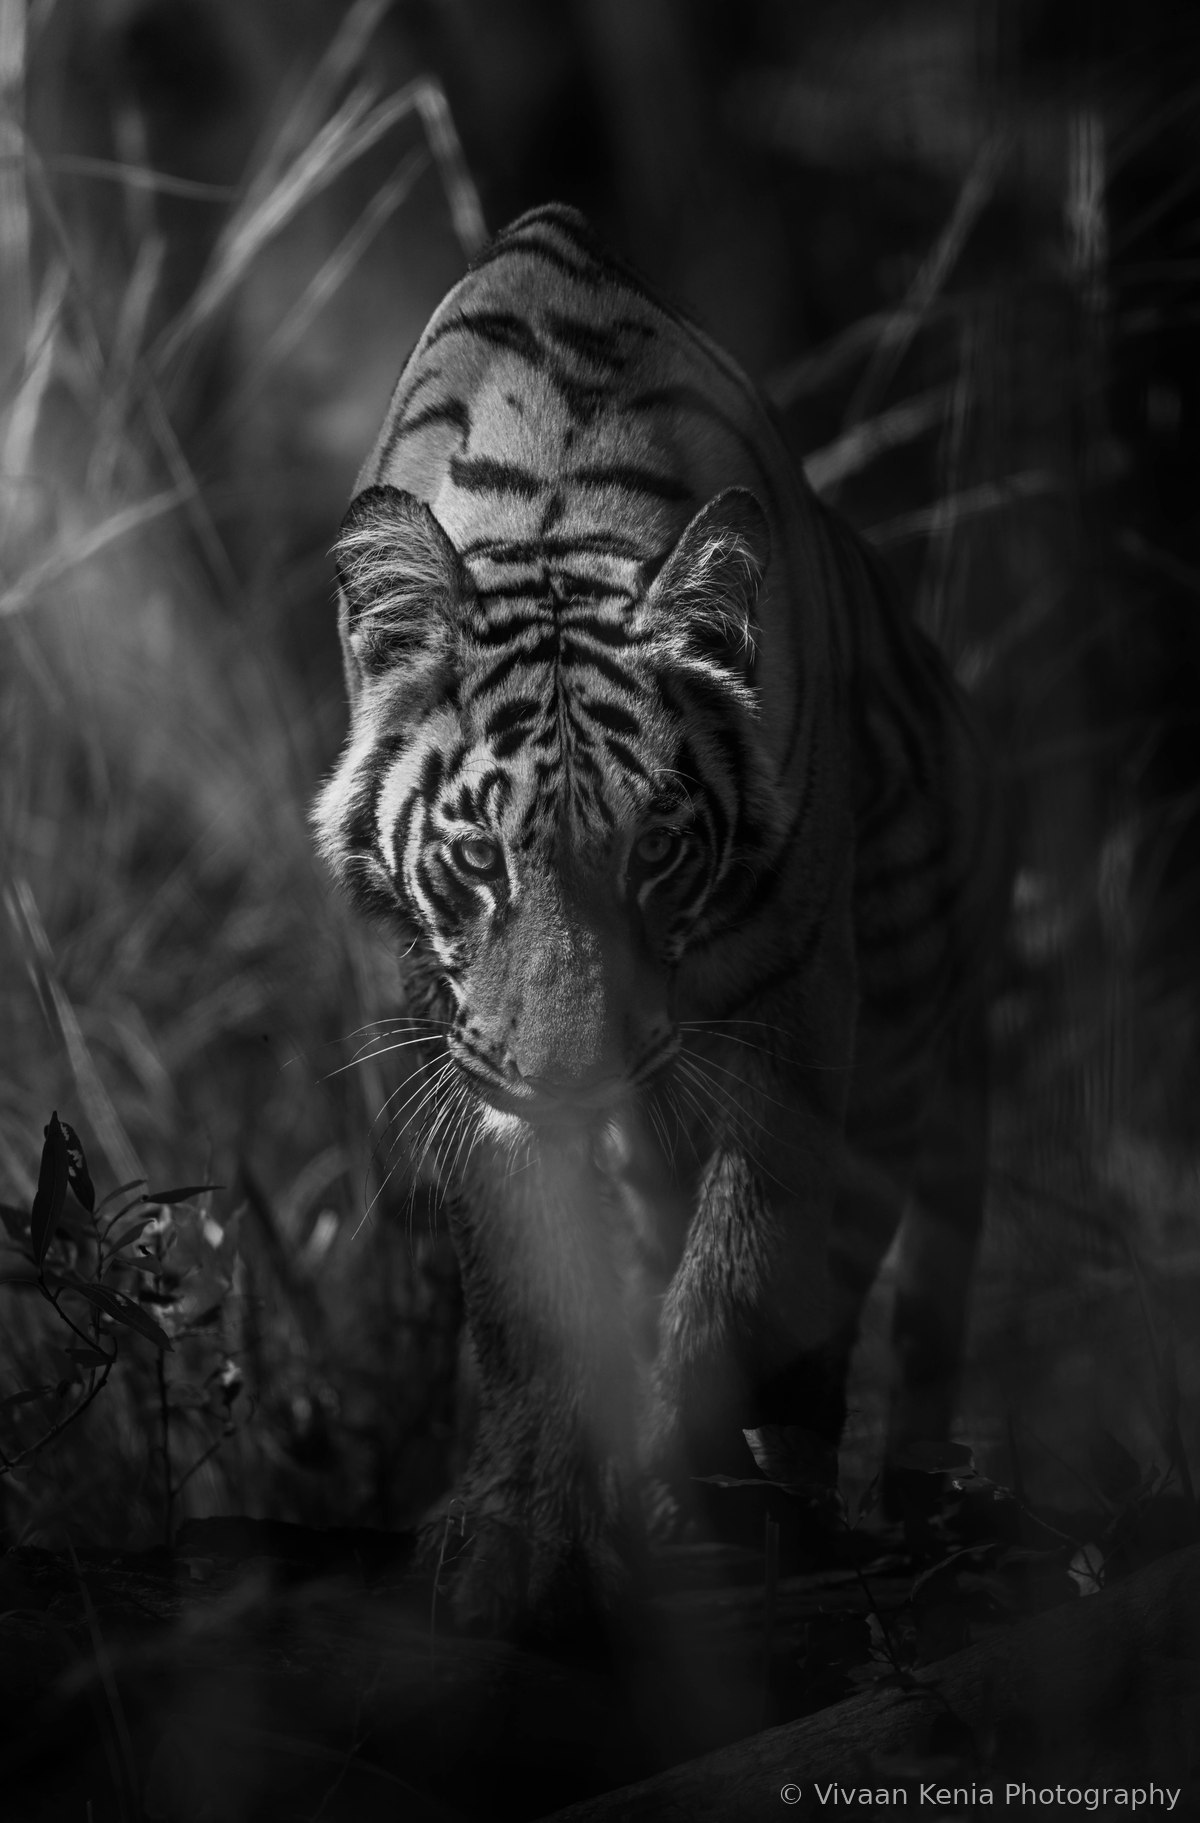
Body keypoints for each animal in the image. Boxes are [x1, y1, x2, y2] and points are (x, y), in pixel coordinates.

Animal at [313, 203, 1002, 1639]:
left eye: (658, 854)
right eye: (481, 855)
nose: (574, 1075)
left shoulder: (801, 1013)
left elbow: (744, 1266)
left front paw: (675, 1492)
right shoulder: (460, 1034)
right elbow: (533, 1299)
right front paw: (521, 1532)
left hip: (930, 1039)